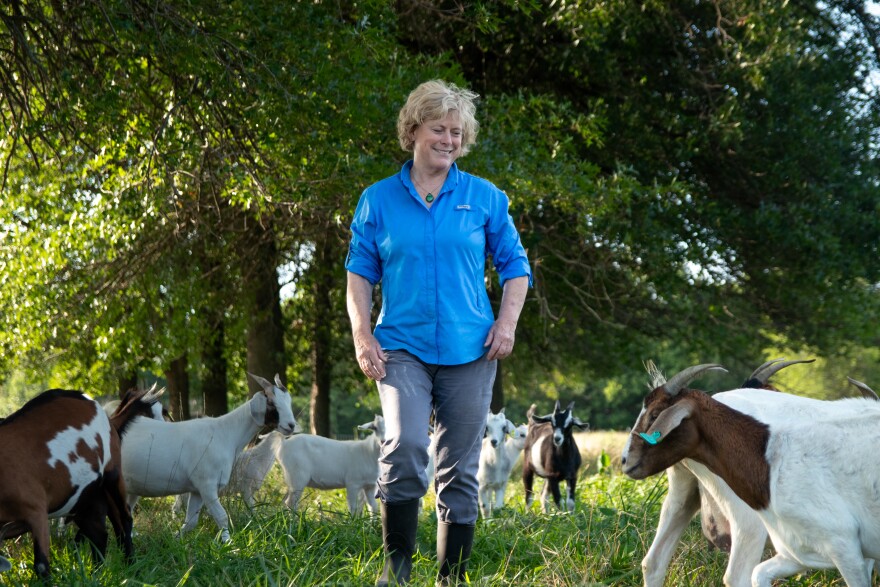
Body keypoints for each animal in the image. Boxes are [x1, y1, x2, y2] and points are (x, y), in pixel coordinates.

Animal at [0, 390, 136, 580]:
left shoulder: (36, 510)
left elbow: (41, 565)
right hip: (86, 499)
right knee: (99, 534)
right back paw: (96, 575)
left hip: (112, 474)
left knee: (124, 519)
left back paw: (132, 568)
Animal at [118, 374, 298, 544]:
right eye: (272, 402)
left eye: (288, 401)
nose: (291, 425)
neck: (225, 432)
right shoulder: (207, 484)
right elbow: (222, 516)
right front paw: (229, 546)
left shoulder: (196, 490)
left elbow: (190, 522)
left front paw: (174, 541)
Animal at [624, 362, 880, 587]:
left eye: (655, 414)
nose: (626, 460)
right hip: (748, 520)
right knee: (738, 576)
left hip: (681, 491)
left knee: (653, 562)